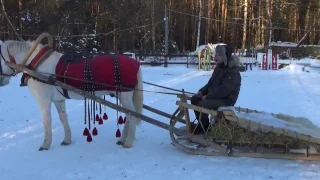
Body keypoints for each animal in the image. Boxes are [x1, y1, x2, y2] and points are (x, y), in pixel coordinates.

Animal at [0, 33, 144, 150]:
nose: (1, 80)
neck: (37, 64)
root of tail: (136, 64)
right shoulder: (58, 100)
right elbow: (63, 118)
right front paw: (67, 140)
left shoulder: (43, 100)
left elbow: (47, 121)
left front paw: (45, 144)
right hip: (122, 96)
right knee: (129, 116)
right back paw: (122, 139)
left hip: (124, 96)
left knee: (132, 116)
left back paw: (128, 142)